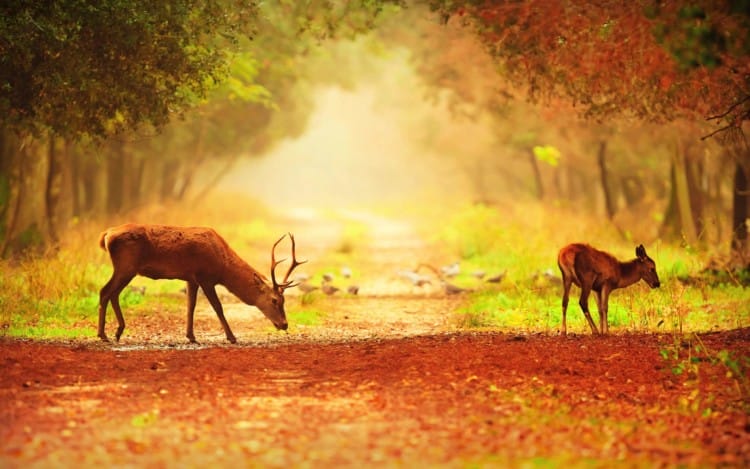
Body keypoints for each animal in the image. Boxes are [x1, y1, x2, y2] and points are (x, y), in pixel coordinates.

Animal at [99, 224, 306, 344]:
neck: (223, 267)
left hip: (126, 268)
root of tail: (106, 235)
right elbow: (218, 307)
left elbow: (190, 306)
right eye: (274, 300)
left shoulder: (191, 278)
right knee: (105, 291)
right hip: (126, 266)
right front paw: (232, 337)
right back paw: (104, 335)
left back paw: (117, 332)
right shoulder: (206, 277)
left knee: (112, 293)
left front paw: (191, 336)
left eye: (284, 300)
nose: (284, 324)